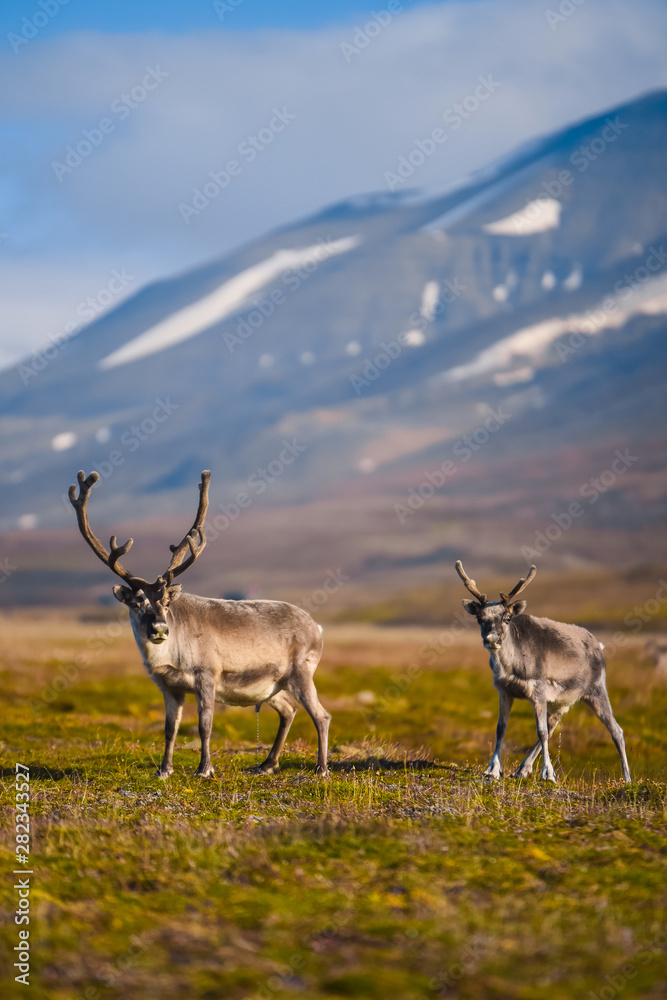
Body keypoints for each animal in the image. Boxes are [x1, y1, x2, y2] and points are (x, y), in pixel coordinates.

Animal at [69, 469, 331, 778]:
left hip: (301, 673)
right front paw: (164, 770)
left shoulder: (207, 675)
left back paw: (321, 768)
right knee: (289, 710)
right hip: (271, 685)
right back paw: (267, 764)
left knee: (321, 715)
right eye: (136, 602)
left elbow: (205, 725)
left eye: (166, 603)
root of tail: (317, 627)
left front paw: (204, 769)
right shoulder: (168, 686)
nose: (160, 629)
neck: (169, 656)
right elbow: (170, 729)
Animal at [454, 561, 631, 783]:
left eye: (507, 617)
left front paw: (548, 773)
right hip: (562, 701)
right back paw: (522, 769)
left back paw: (627, 779)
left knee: (616, 730)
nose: (492, 640)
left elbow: (540, 731)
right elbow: (501, 728)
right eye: (479, 618)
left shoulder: (538, 691)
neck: (512, 666)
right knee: (553, 725)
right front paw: (493, 769)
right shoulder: (504, 692)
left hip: (596, 690)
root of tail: (599, 646)